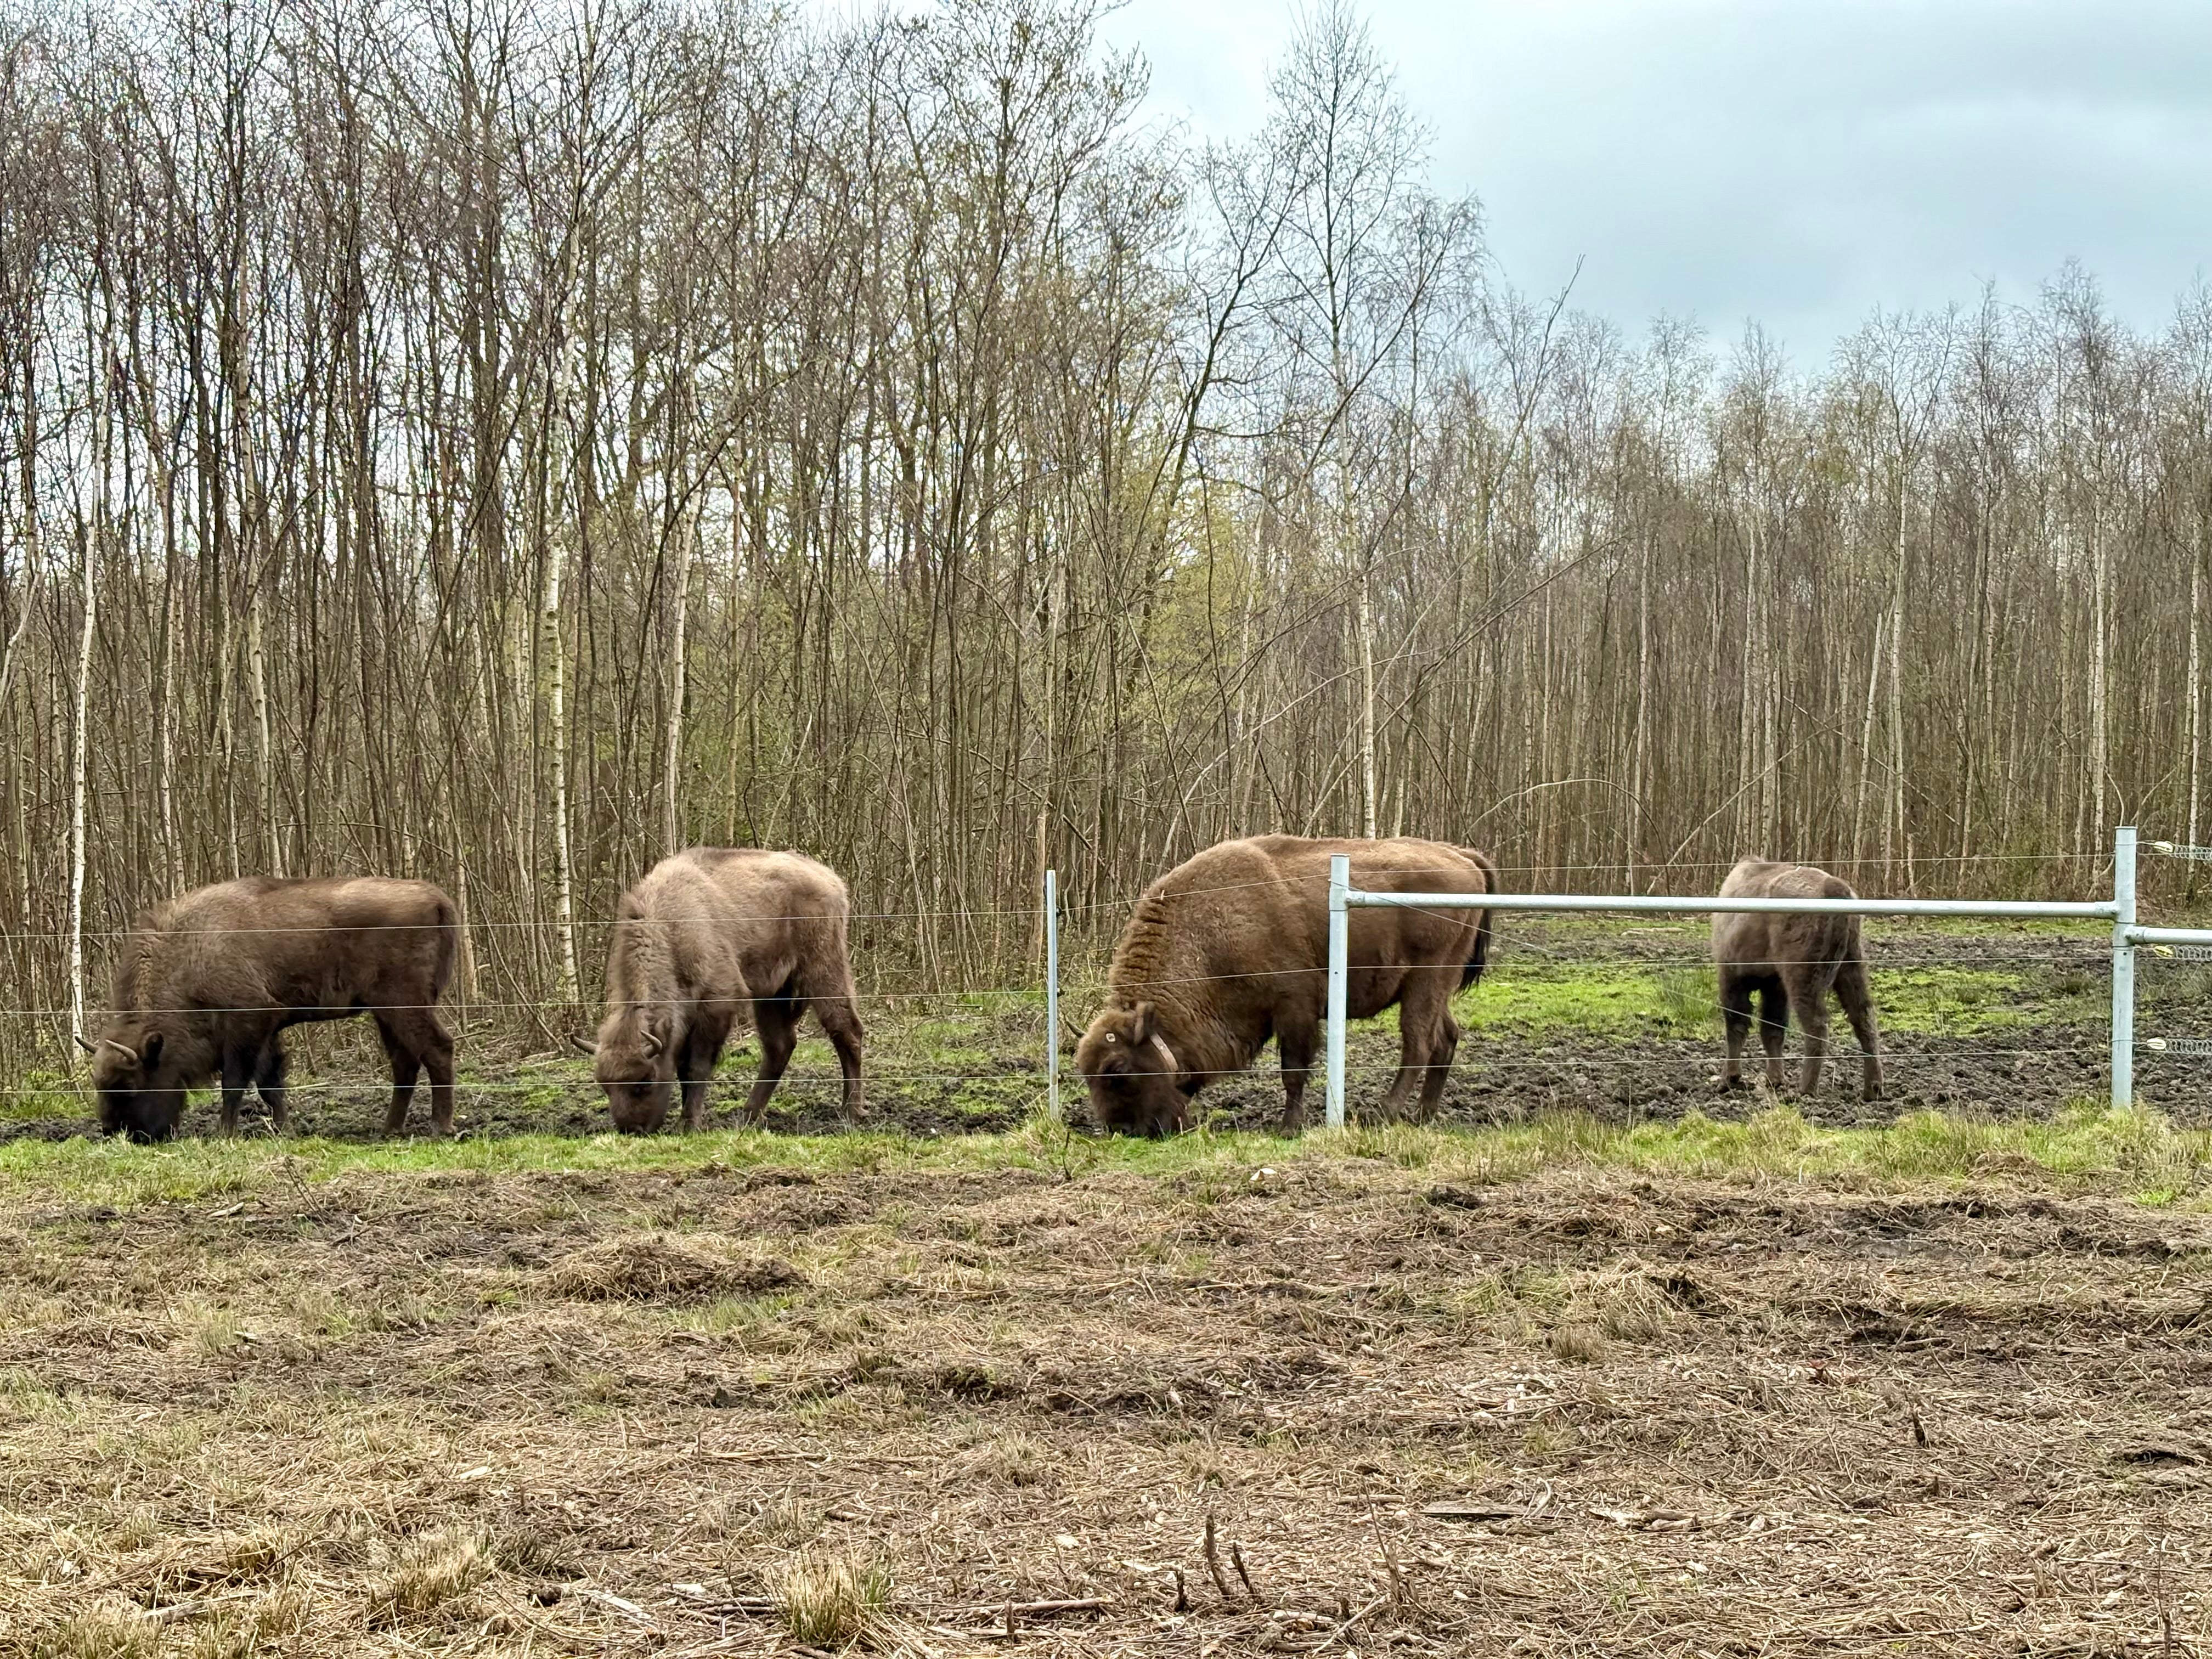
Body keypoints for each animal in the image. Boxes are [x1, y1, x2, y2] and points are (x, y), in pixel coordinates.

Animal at [87, 876, 458, 1142]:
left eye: (128, 1084)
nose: (115, 1132)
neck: (191, 951)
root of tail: (437, 899)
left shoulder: (247, 1021)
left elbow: (235, 1081)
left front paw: (224, 1134)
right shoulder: (266, 1029)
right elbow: (270, 1083)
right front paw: (285, 1130)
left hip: (405, 1003)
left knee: (437, 1049)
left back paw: (440, 1128)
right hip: (386, 1012)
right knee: (405, 1063)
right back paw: (389, 1130)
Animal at [585, 847, 865, 1132]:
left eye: (645, 1081)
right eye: (606, 1086)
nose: (631, 1129)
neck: (672, 927)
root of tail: (829, 879)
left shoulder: (718, 1003)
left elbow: (696, 1068)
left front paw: (690, 1123)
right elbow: (683, 1068)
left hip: (823, 969)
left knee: (846, 1030)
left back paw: (851, 1112)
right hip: (772, 993)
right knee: (780, 1045)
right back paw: (750, 1115)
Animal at [1075, 834, 1498, 1135]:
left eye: (1117, 1068)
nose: (1123, 1130)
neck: (1210, 935)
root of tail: (1463, 858)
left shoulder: (1294, 1008)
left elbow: (1293, 1070)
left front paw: (1288, 1127)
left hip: (1426, 980)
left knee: (1419, 1043)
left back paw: (1383, 1113)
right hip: (1437, 987)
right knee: (1445, 1039)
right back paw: (1424, 1116)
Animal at [1714, 858, 1882, 1100]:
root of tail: (1834, 887)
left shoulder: (1732, 978)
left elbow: (1736, 1026)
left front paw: (1730, 1079)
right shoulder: (1775, 985)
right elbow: (1772, 1029)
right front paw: (1775, 1080)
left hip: (1802, 976)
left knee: (1817, 1024)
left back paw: (1805, 1090)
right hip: (1852, 964)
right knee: (1864, 1017)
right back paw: (1873, 1089)